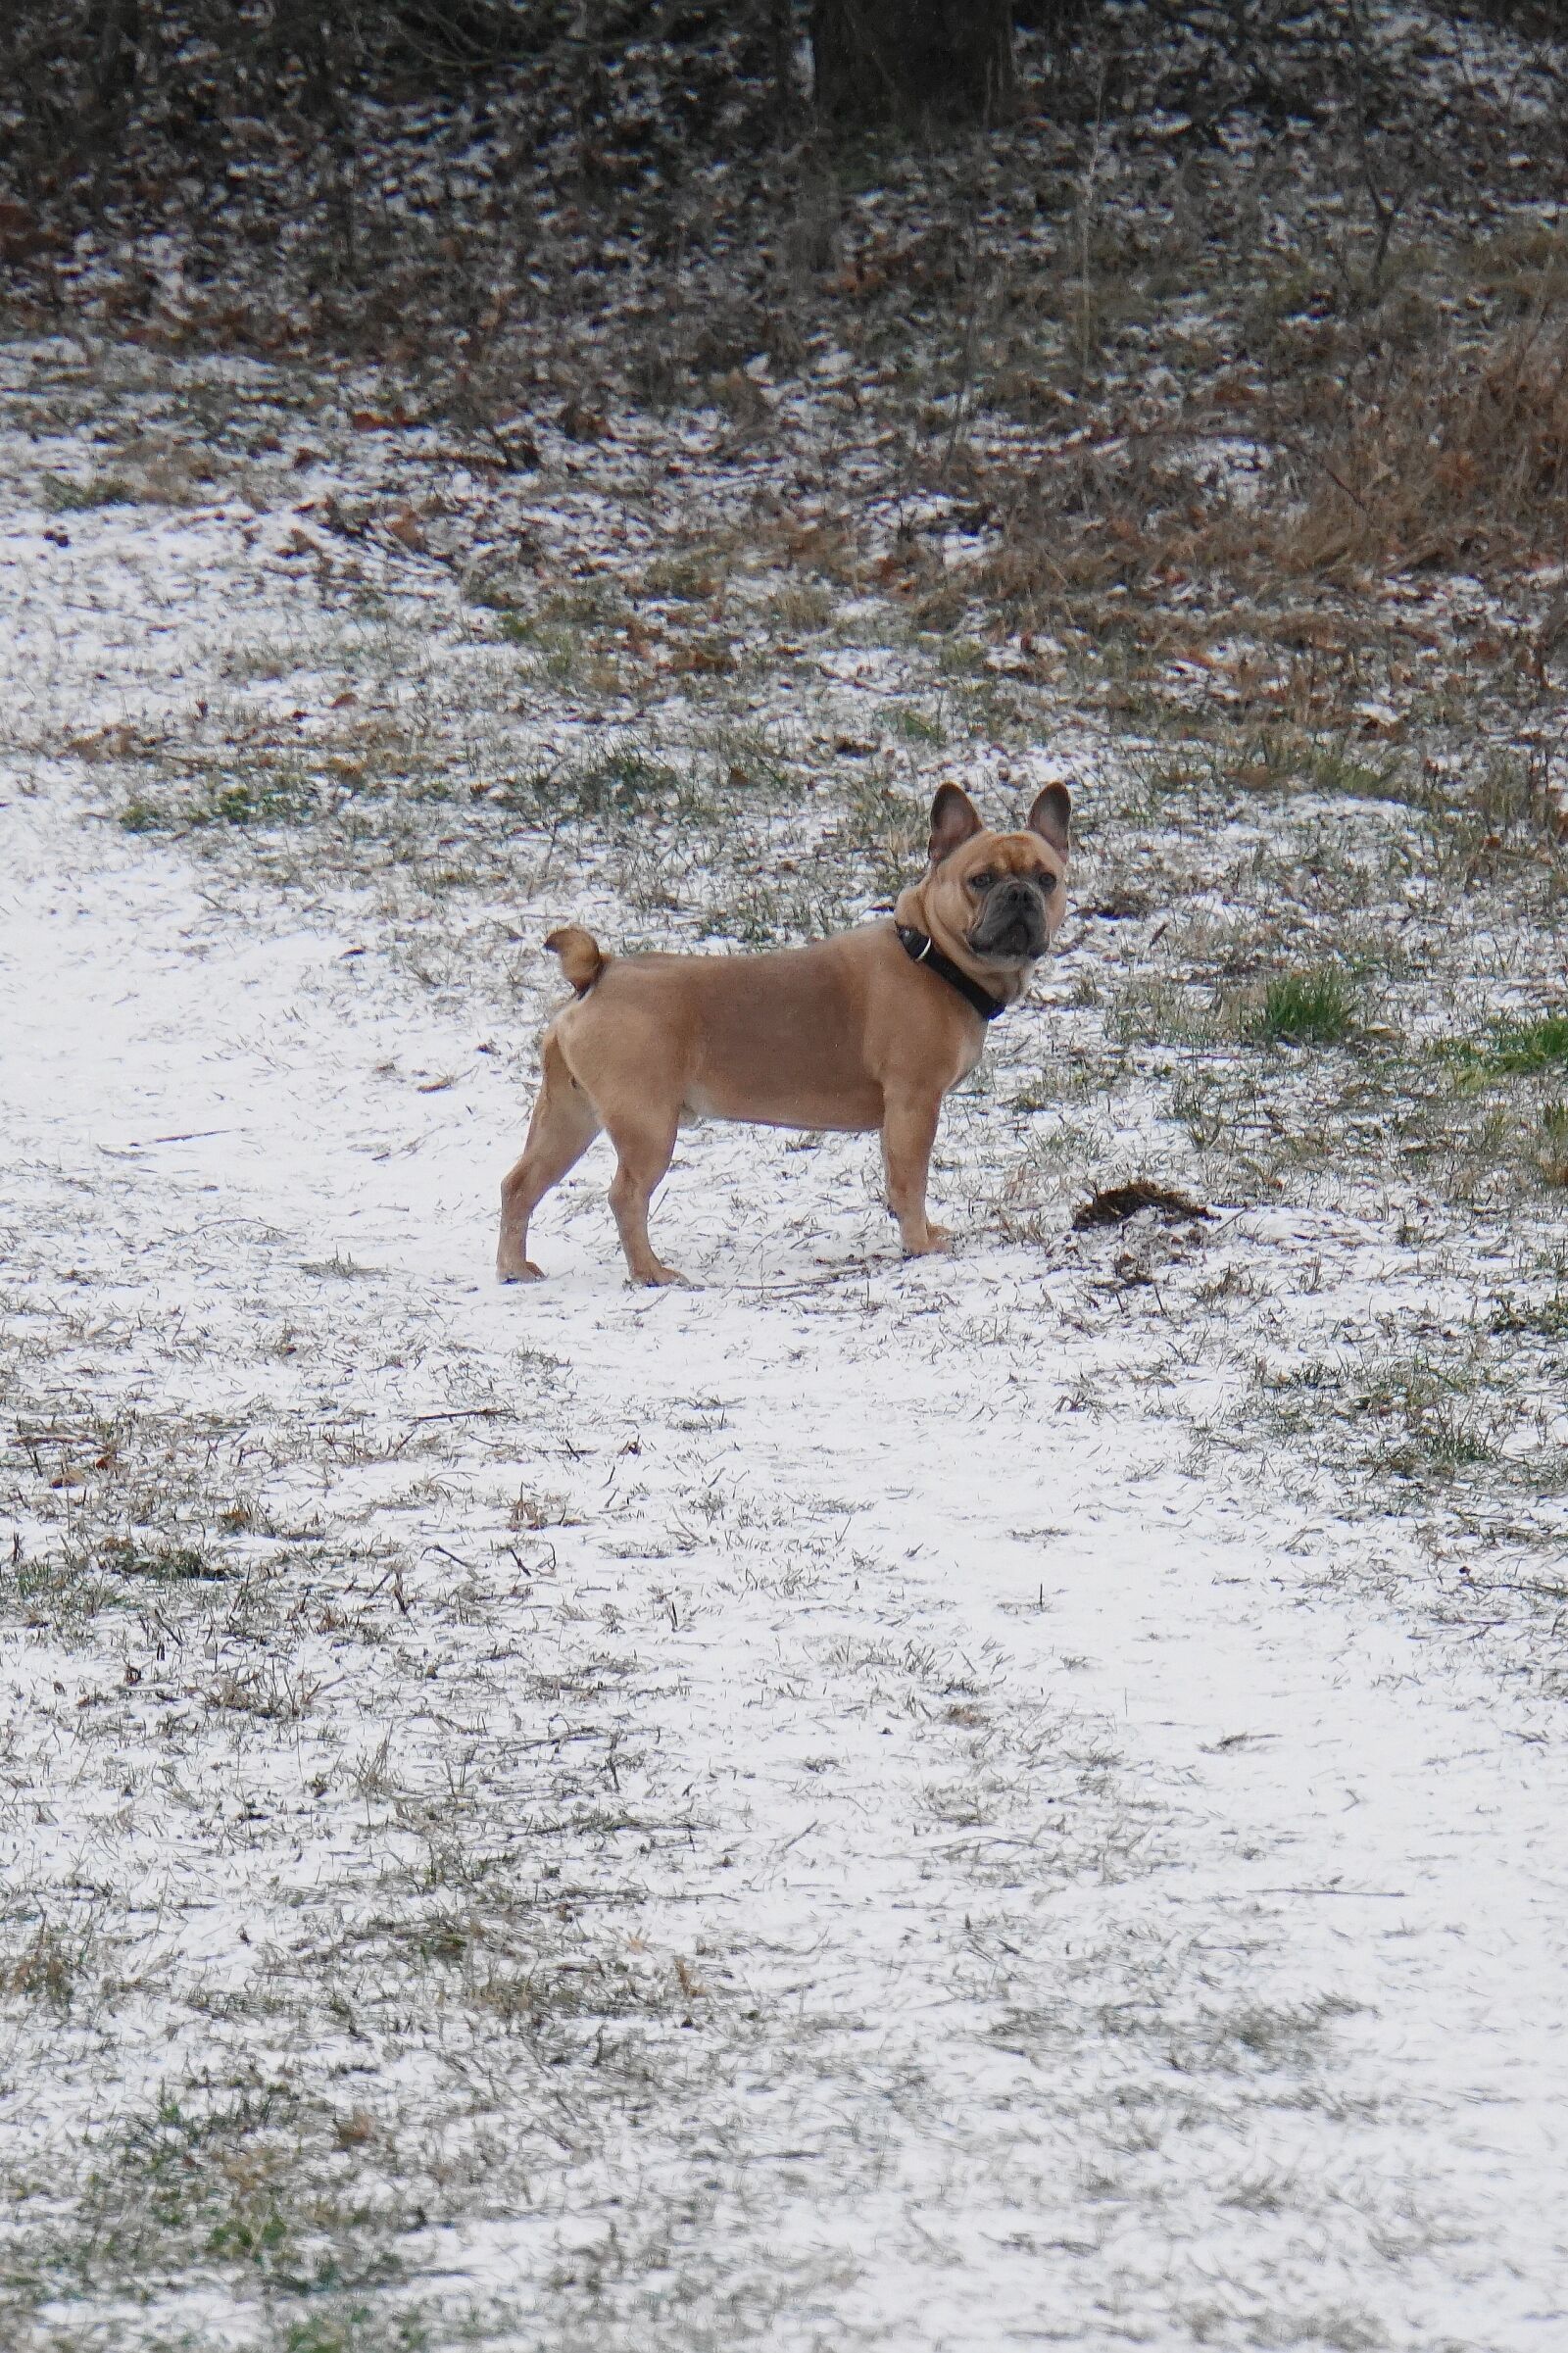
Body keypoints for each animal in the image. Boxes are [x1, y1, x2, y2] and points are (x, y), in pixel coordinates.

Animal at [494, 781, 1068, 1289]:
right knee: (625, 1197)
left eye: (1046, 879)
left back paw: (514, 1268)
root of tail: (598, 972)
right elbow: (910, 1181)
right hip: (646, 1126)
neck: (931, 953)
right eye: (982, 880)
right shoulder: (914, 1103)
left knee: (520, 1184)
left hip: (568, 1116)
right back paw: (650, 1273)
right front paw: (919, 1245)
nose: (1020, 894)